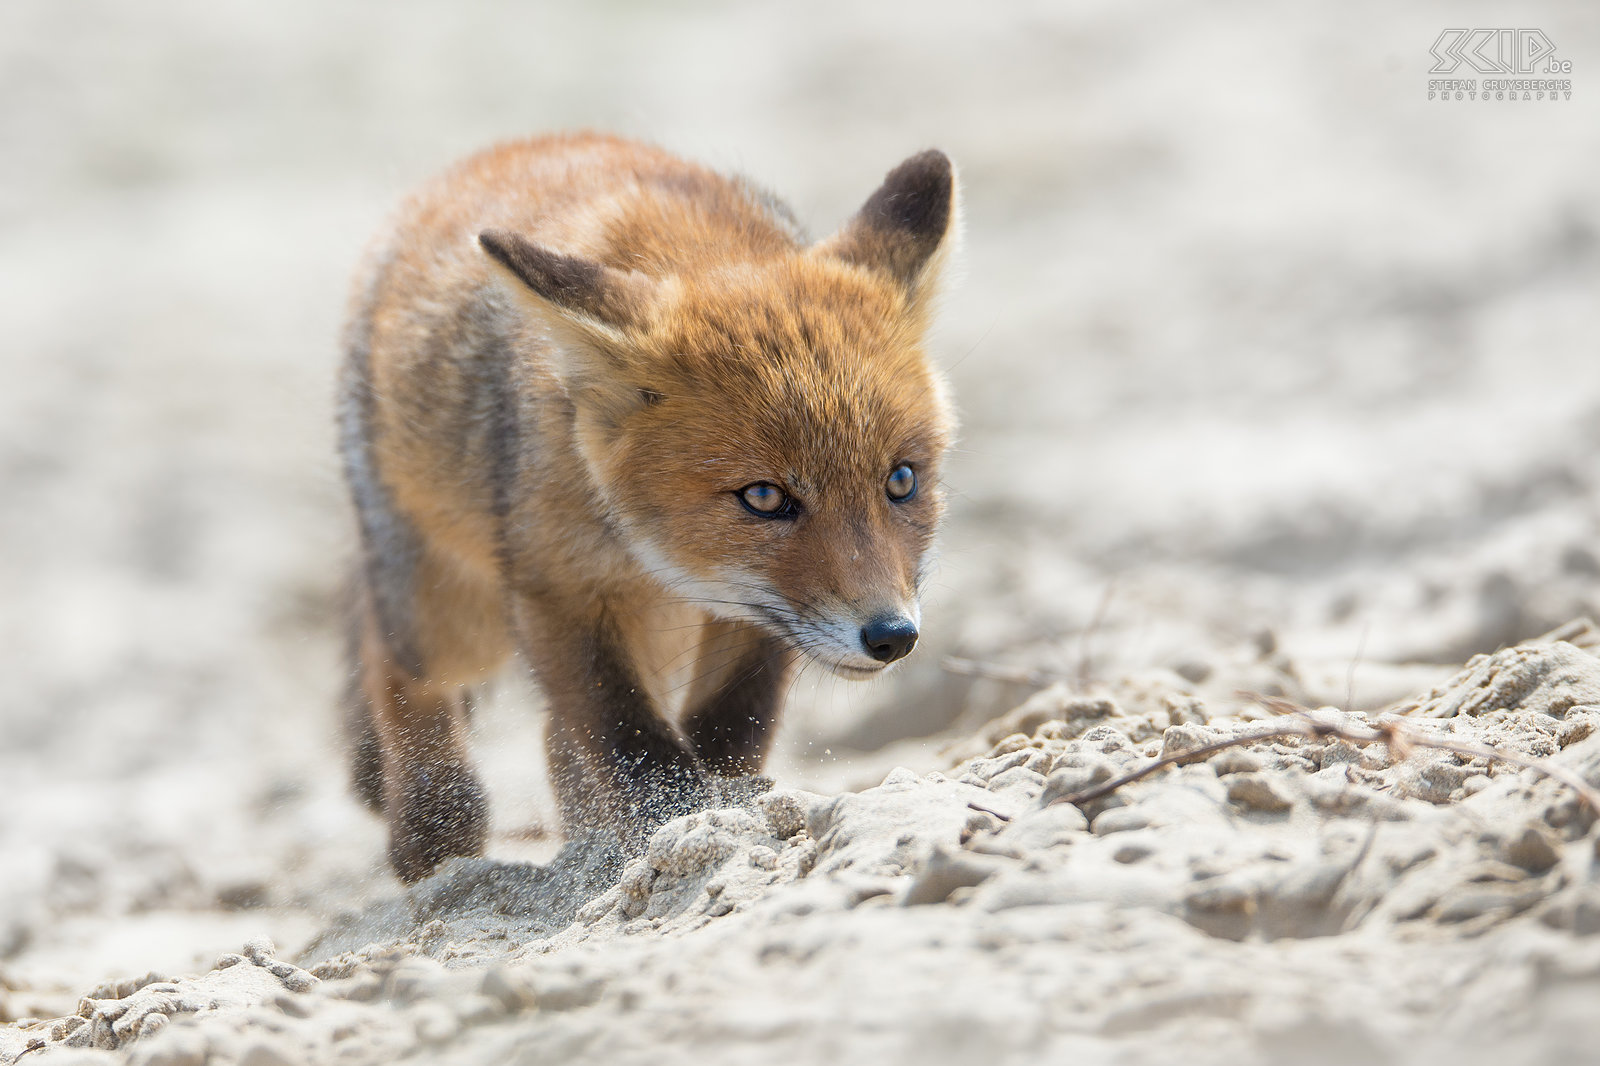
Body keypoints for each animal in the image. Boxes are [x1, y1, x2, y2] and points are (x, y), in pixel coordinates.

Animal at [339, 132, 953, 877]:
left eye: (901, 481)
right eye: (765, 497)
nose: (892, 635)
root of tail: (512, 146)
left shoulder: (758, 615)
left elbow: (732, 722)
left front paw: (719, 811)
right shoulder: (558, 591)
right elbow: (628, 737)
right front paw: (680, 824)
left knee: (556, 744)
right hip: (450, 616)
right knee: (393, 661)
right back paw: (435, 829)